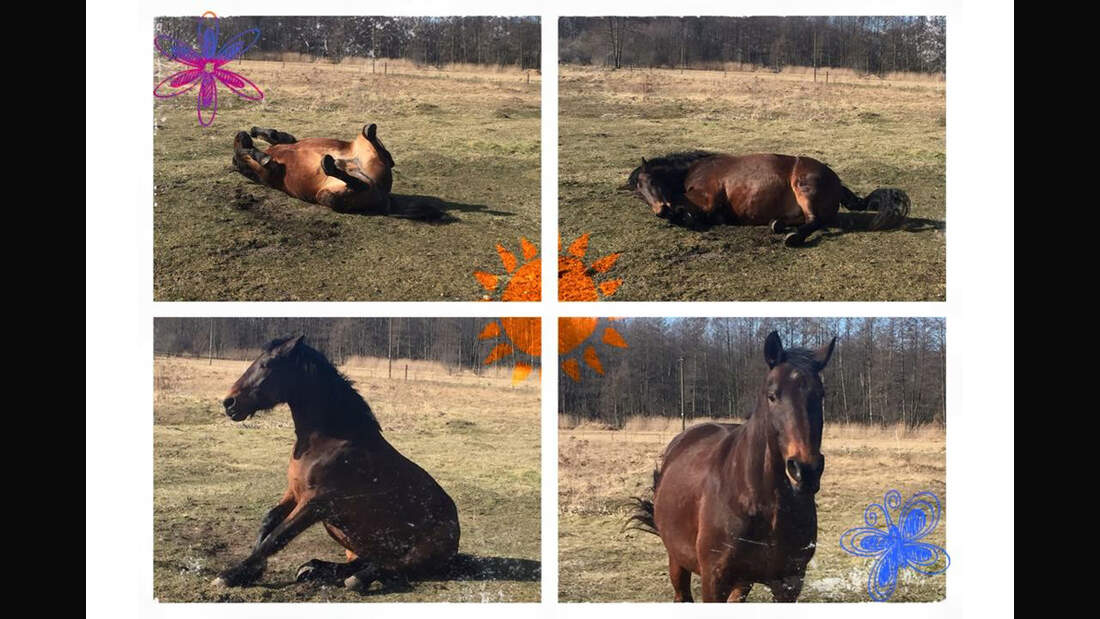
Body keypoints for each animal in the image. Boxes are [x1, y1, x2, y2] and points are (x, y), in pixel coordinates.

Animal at [212, 336, 457, 593]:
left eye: (266, 364)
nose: (229, 402)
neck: (327, 441)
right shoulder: (294, 492)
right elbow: (268, 521)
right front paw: (250, 571)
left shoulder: (316, 503)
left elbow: (277, 536)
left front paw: (230, 575)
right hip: (348, 540)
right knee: (362, 561)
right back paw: (312, 568)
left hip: (415, 550)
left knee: (392, 565)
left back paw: (356, 578)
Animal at [232, 123, 442, 219]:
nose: (240, 134)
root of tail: (384, 197)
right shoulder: (273, 167)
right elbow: (249, 153)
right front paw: (255, 151)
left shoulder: (286, 142)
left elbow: (272, 134)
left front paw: (254, 133)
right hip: (328, 195)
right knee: (360, 183)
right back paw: (331, 164)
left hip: (363, 151)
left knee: (384, 155)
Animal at [624, 151, 906, 246]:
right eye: (639, 194)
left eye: (650, 182)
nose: (659, 210)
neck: (693, 170)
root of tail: (835, 180)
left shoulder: (705, 199)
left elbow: (687, 209)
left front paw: (683, 216)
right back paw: (778, 225)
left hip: (803, 187)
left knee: (816, 220)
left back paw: (793, 238)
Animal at [629, 332, 831, 602]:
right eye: (772, 395)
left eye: (820, 395)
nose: (805, 470)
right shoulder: (714, 580)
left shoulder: (789, 583)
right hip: (678, 562)